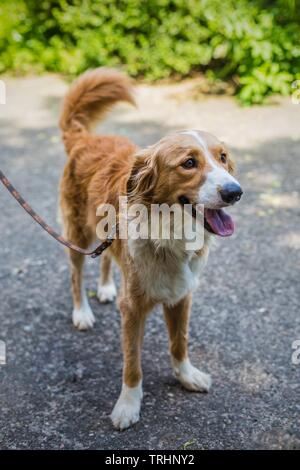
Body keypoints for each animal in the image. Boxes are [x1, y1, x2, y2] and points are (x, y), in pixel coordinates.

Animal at [58, 68, 241, 432]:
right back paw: (82, 312)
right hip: (78, 233)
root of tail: (85, 138)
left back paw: (105, 288)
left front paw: (187, 377)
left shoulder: (182, 295)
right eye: (188, 163)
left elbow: (179, 342)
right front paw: (128, 405)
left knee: (105, 259)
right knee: (75, 273)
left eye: (223, 157)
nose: (235, 192)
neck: (170, 232)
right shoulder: (133, 309)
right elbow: (133, 364)